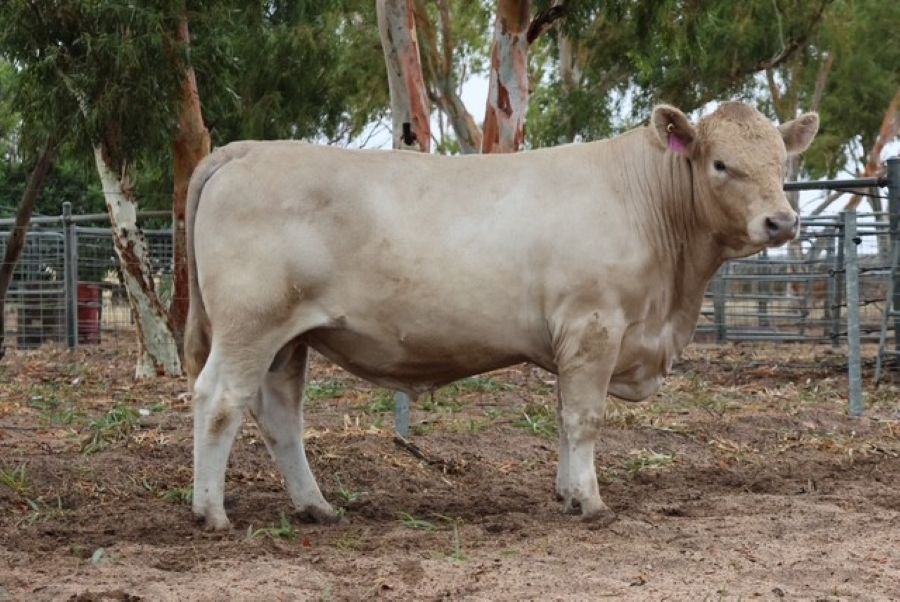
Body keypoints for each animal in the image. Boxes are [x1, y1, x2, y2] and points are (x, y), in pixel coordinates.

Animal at [185, 101, 819, 530]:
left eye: (782, 162)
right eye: (721, 164)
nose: (781, 222)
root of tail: (247, 149)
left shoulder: (576, 340)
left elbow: (563, 418)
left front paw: (567, 494)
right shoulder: (594, 325)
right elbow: (584, 418)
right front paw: (591, 502)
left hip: (289, 340)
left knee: (280, 417)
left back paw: (317, 506)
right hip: (250, 325)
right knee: (219, 401)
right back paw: (211, 512)